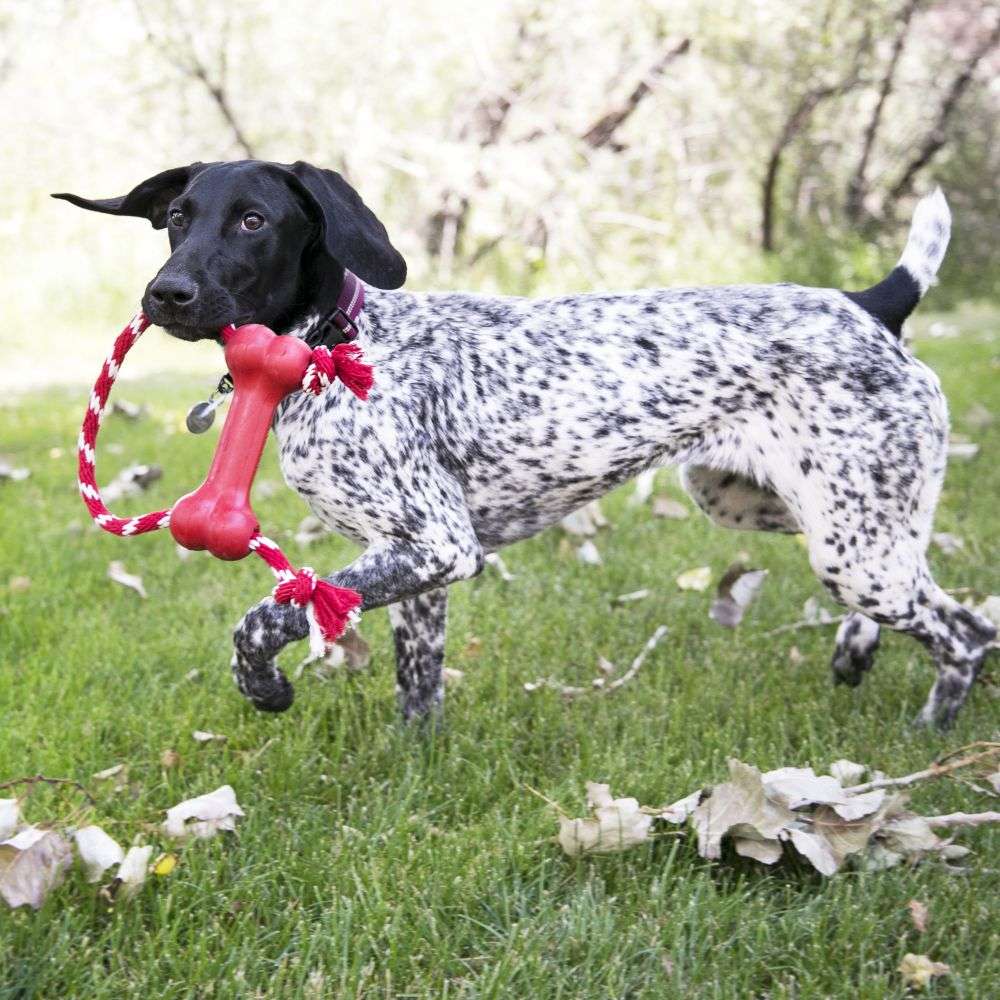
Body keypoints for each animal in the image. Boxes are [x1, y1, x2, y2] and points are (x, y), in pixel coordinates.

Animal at [56, 162, 1000, 728]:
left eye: (253, 220)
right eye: (177, 218)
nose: (164, 293)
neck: (340, 345)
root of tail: (870, 301)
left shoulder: (437, 545)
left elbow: (264, 617)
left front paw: (265, 685)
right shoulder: (416, 563)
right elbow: (418, 686)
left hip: (853, 546)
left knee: (964, 634)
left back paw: (929, 734)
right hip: (791, 509)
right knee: (944, 602)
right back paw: (861, 656)